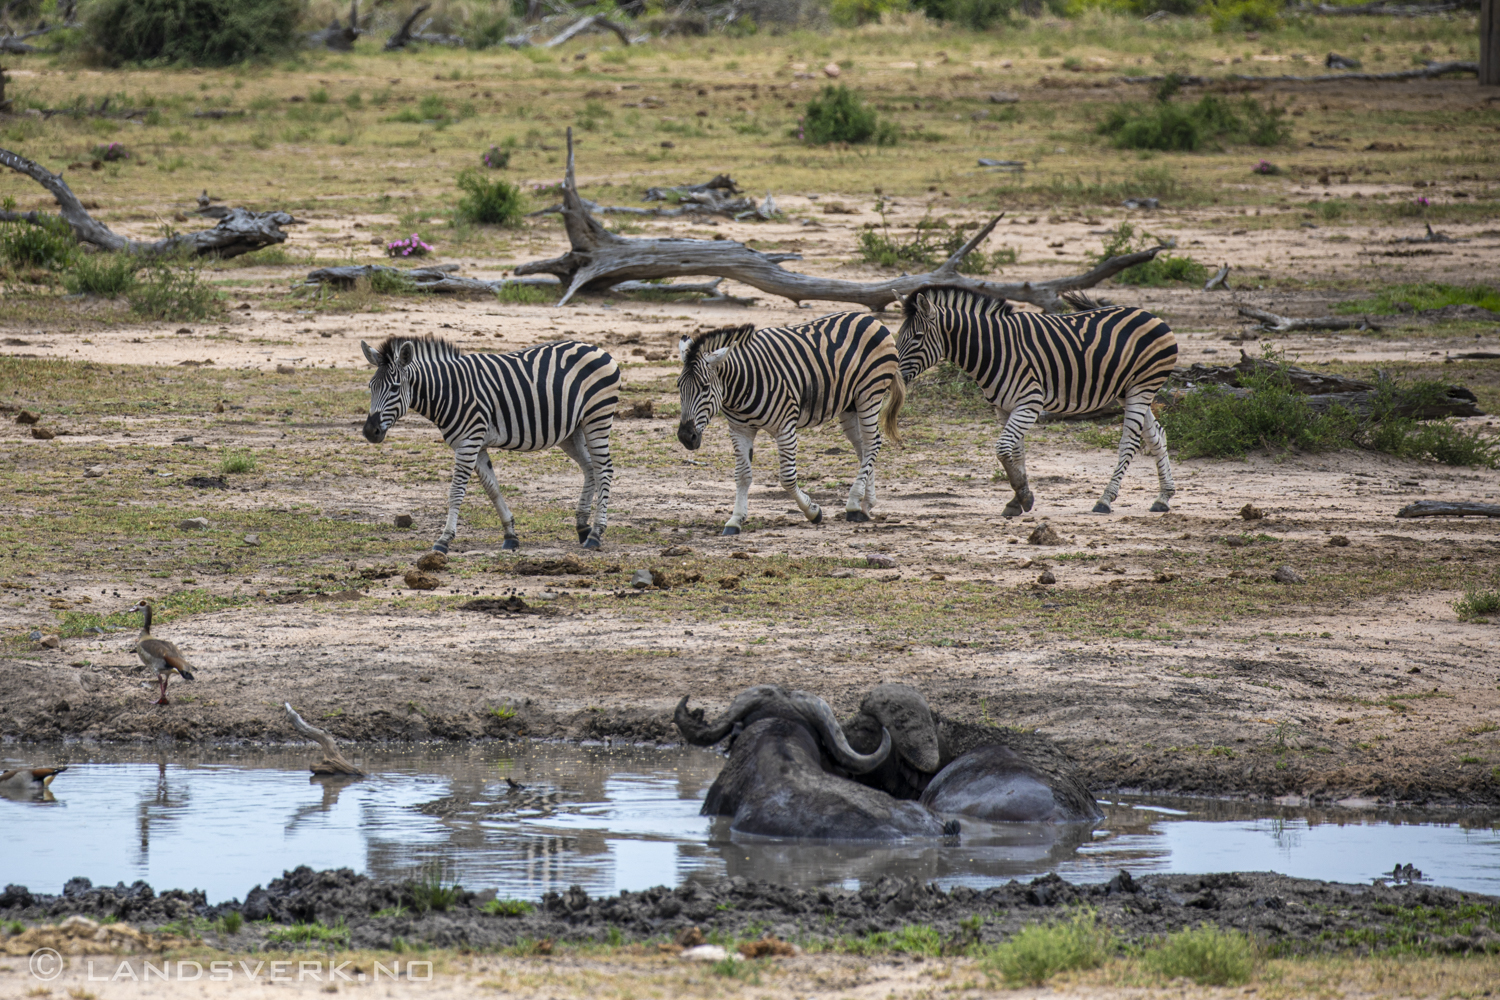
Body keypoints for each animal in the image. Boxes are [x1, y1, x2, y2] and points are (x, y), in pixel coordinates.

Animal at [360, 335, 618, 554]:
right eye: (371, 386)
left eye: (395, 388)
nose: (370, 432)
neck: (448, 392)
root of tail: (596, 348)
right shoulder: (475, 445)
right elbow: (492, 489)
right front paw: (510, 535)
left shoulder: (468, 443)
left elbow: (456, 492)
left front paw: (444, 539)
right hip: (572, 430)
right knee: (590, 468)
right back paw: (583, 527)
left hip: (597, 417)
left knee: (604, 469)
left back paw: (595, 534)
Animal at [678, 313, 900, 536]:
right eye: (679, 387)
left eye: (705, 387)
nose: (685, 437)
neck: (742, 385)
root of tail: (869, 317)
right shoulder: (740, 430)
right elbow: (742, 475)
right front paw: (735, 519)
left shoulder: (784, 428)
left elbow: (787, 478)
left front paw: (813, 512)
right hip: (849, 404)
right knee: (862, 448)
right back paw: (864, 504)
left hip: (869, 394)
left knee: (872, 443)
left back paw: (854, 504)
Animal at [894, 283, 1176, 512]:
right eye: (898, 337)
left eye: (917, 337)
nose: (895, 377)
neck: (994, 349)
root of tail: (1151, 315)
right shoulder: (1004, 408)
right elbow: (1016, 452)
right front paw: (1017, 500)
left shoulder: (1029, 404)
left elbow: (1002, 448)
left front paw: (1023, 495)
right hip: (1127, 391)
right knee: (1157, 435)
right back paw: (1163, 497)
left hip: (1142, 386)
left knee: (1129, 442)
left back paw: (1105, 500)